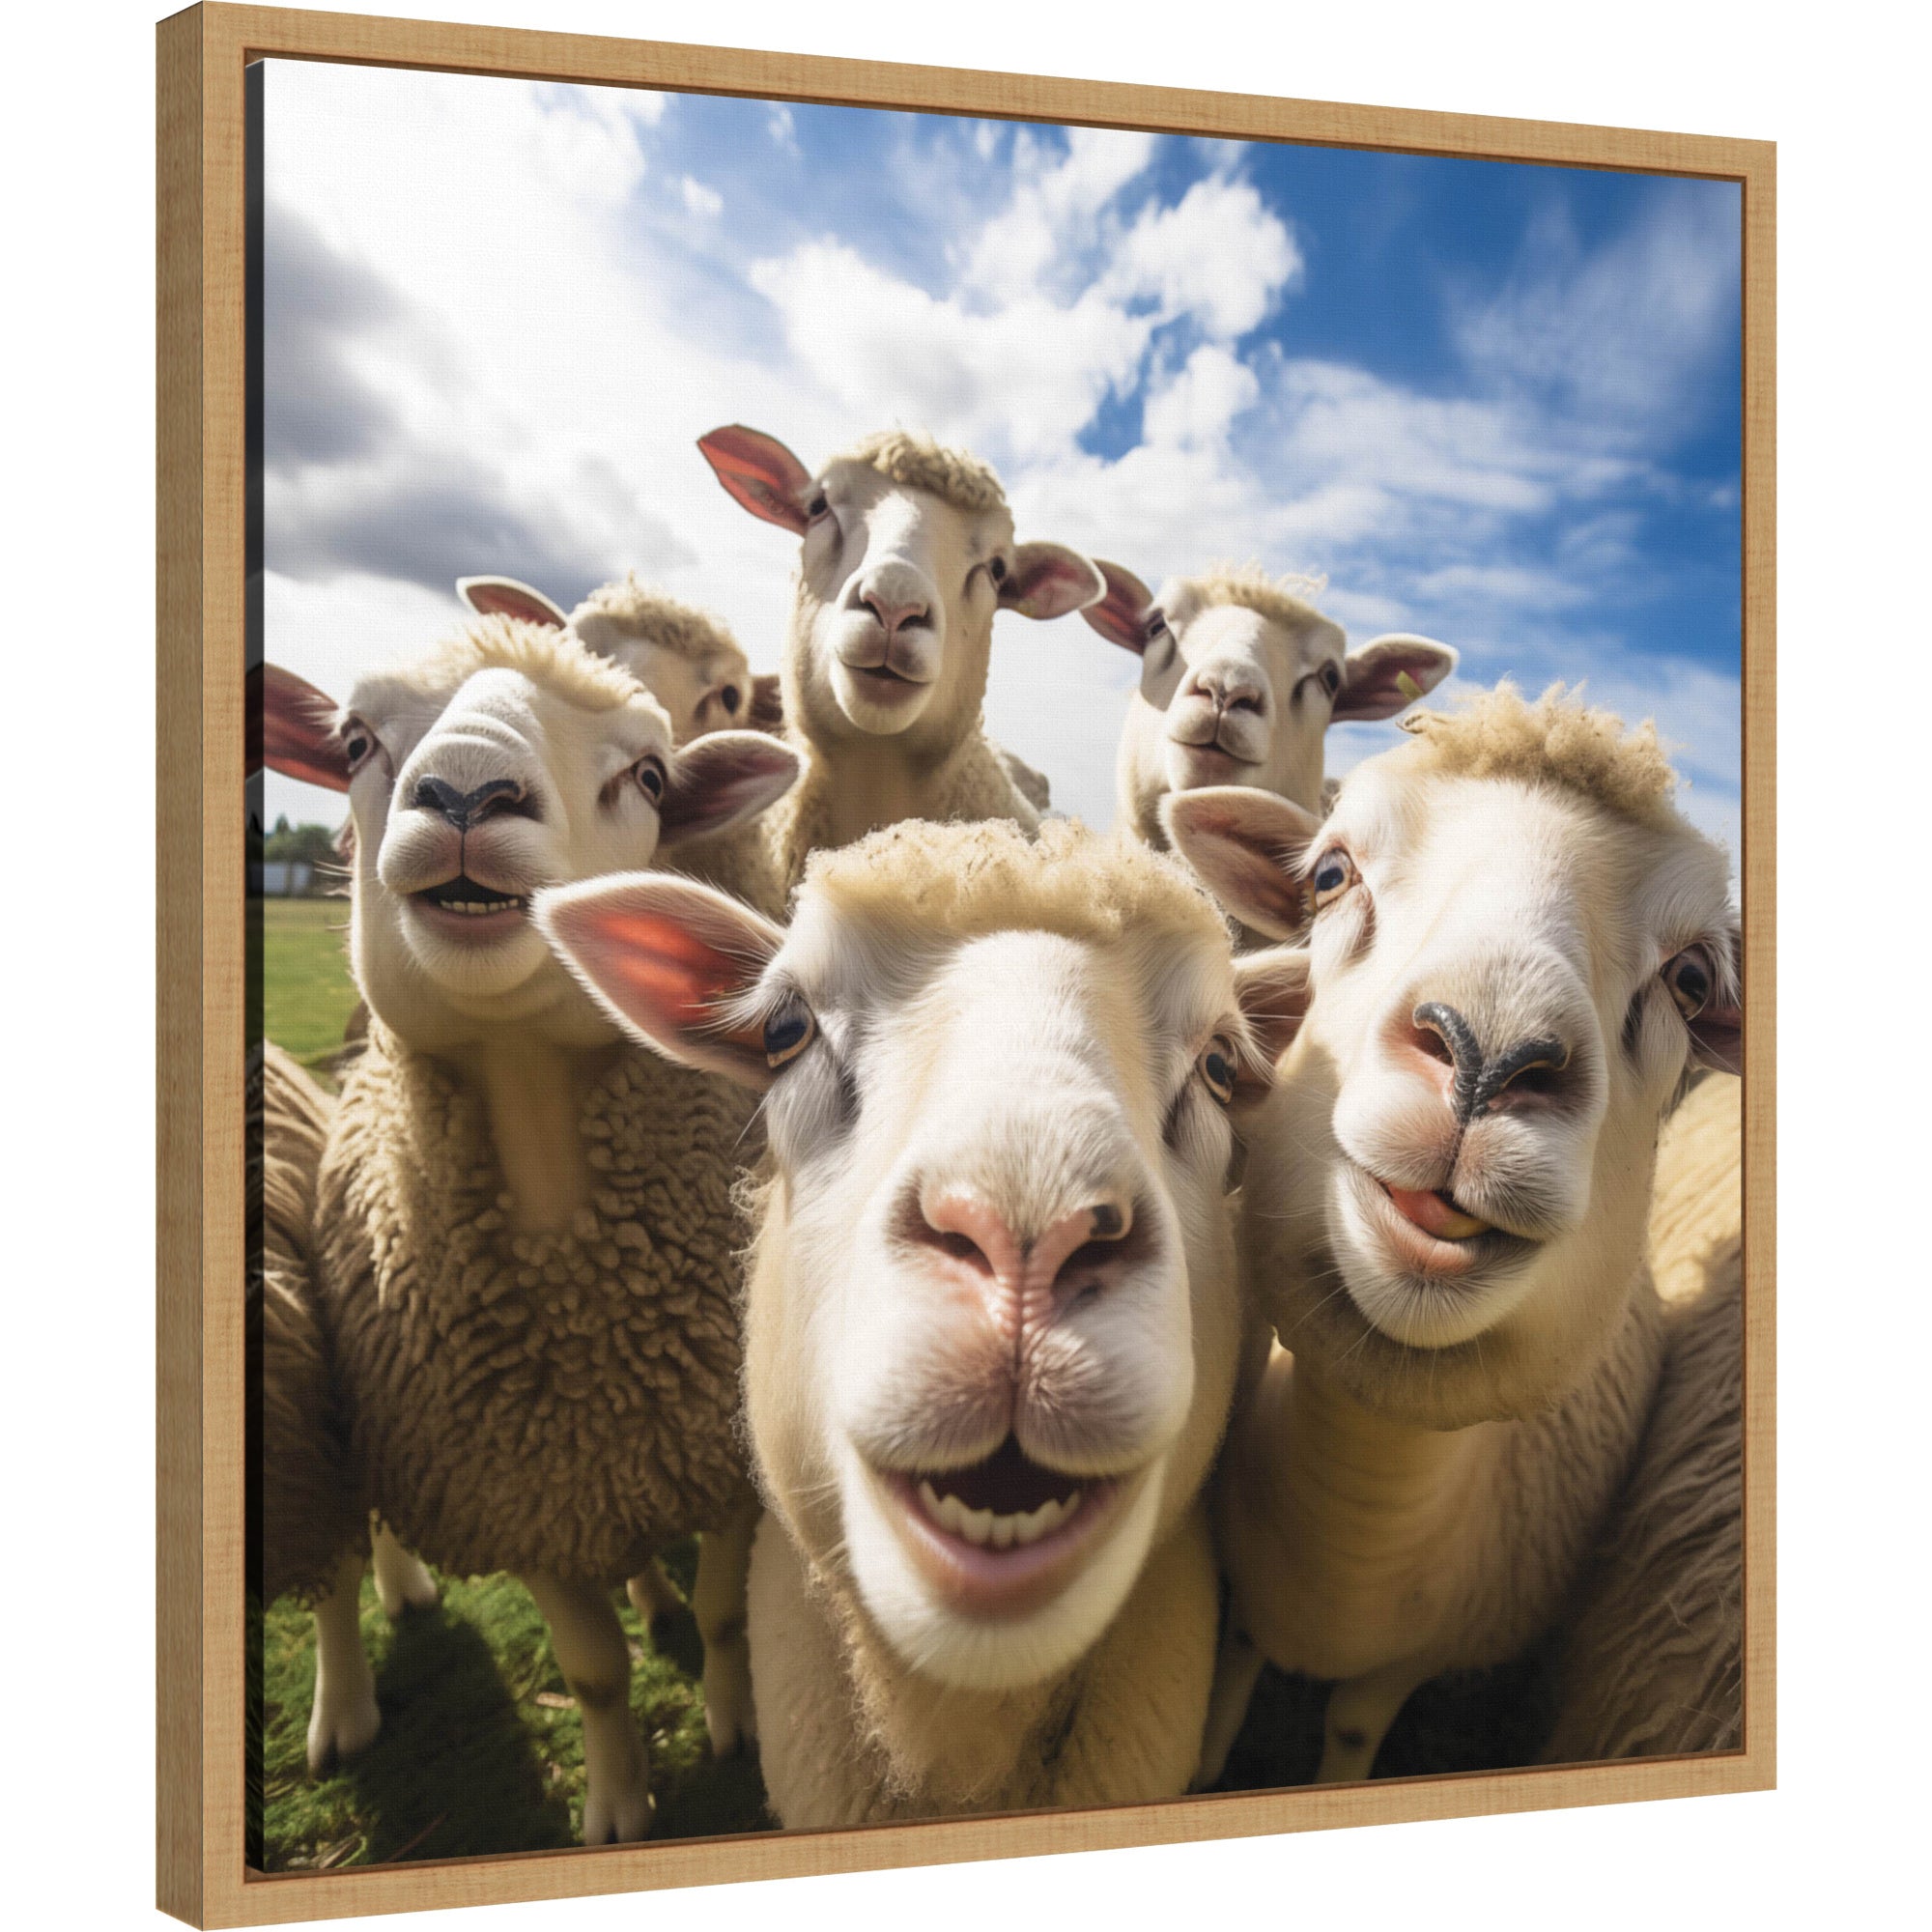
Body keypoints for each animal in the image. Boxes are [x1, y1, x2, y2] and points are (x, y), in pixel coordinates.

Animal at [259, 617, 801, 1840]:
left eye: (646, 775)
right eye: (354, 740)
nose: (466, 793)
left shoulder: (726, 1465)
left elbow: (727, 1610)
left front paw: (737, 1728)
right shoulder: (523, 1493)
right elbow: (593, 1669)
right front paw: (616, 1806)